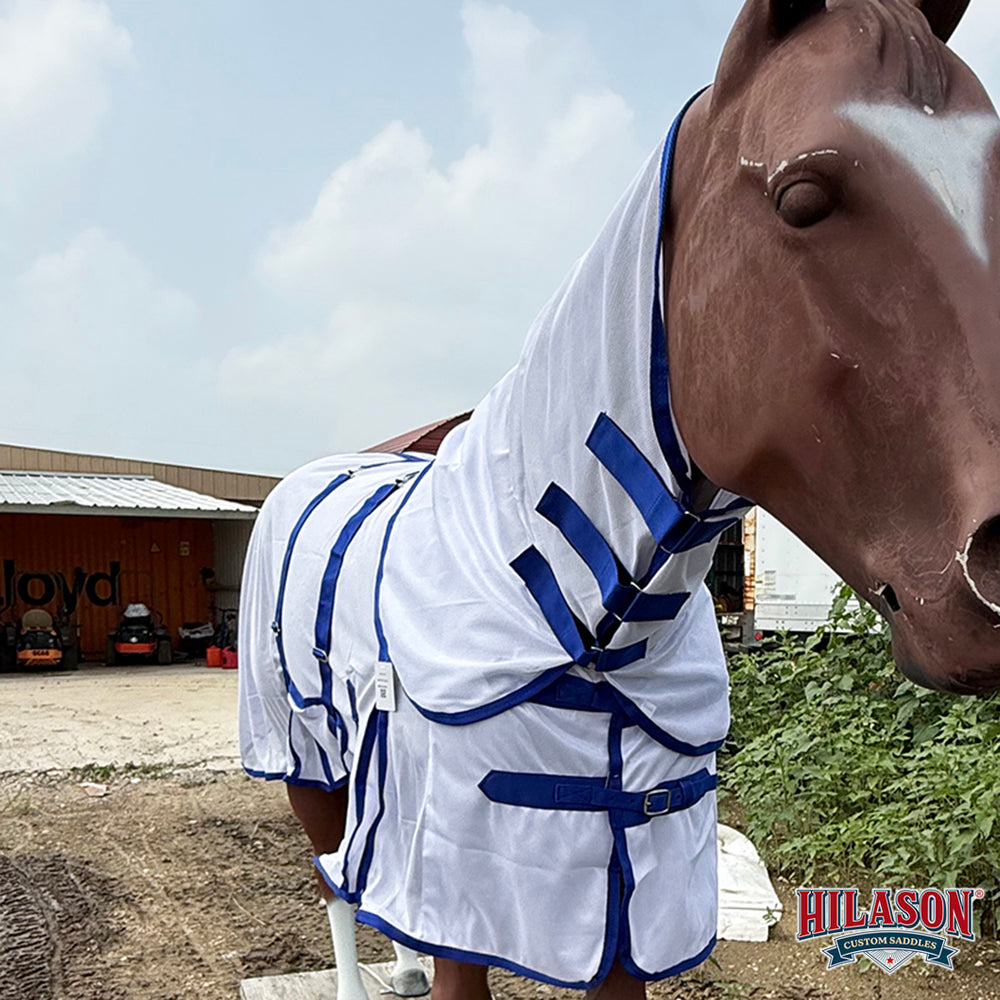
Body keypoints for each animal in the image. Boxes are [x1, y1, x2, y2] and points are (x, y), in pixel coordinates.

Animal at [237, 1, 1000, 997]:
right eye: (802, 198)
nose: (995, 573)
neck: (580, 623)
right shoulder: (469, 889)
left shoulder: (629, 900)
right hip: (301, 754)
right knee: (334, 878)